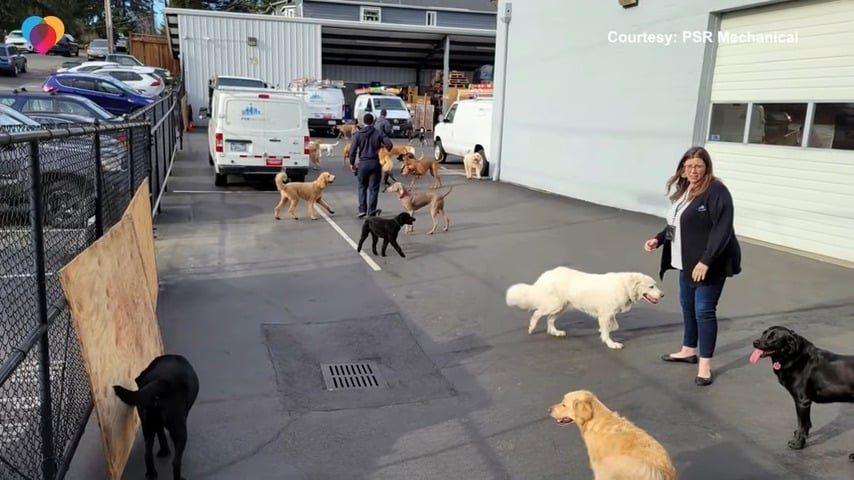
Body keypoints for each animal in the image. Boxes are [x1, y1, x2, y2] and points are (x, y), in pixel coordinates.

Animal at [504, 266, 664, 348]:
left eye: (655, 285)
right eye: (651, 286)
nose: (662, 295)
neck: (625, 286)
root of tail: (546, 275)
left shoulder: (608, 314)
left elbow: (613, 327)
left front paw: (602, 331)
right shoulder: (606, 314)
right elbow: (608, 331)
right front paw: (611, 343)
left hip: (561, 307)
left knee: (550, 319)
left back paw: (555, 332)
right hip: (554, 305)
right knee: (537, 313)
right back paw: (531, 328)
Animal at [752, 324, 854, 460]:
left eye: (773, 337)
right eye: (764, 333)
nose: (755, 342)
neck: (794, 357)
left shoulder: (802, 401)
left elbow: (802, 423)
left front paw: (798, 444)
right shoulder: (802, 402)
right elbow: (805, 424)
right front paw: (800, 436)